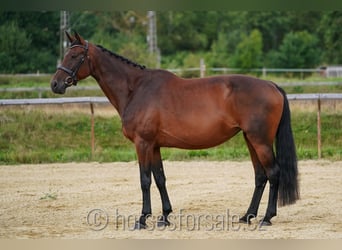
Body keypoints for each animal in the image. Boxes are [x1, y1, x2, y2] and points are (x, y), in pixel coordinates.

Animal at [50, 31, 300, 229]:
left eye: (74, 56)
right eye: (65, 54)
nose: (55, 84)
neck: (136, 89)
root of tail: (272, 86)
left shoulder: (142, 143)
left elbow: (144, 179)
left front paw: (142, 219)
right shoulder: (154, 146)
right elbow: (160, 178)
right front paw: (164, 217)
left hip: (261, 141)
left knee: (273, 173)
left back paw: (266, 218)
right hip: (250, 139)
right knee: (260, 175)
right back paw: (247, 216)